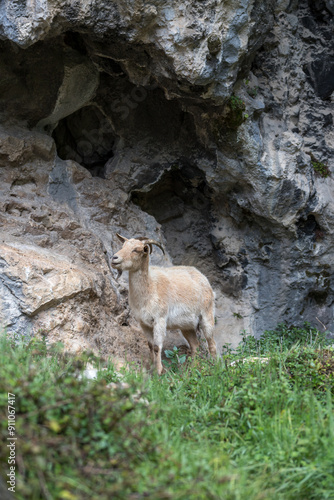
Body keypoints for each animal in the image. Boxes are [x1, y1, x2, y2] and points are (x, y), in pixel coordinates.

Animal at [111, 235, 218, 376]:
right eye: (123, 246)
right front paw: (151, 369)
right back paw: (192, 370)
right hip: (187, 325)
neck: (150, 288)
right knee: (195, 345)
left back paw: (216, 368)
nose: (114, 258)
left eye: (136, 249)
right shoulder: (144, 323)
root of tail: (203, 278)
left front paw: (159, 371)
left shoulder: (160, 319)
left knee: (212, 343)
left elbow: (157, 347)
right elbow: (150, 345)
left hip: (207, 315)